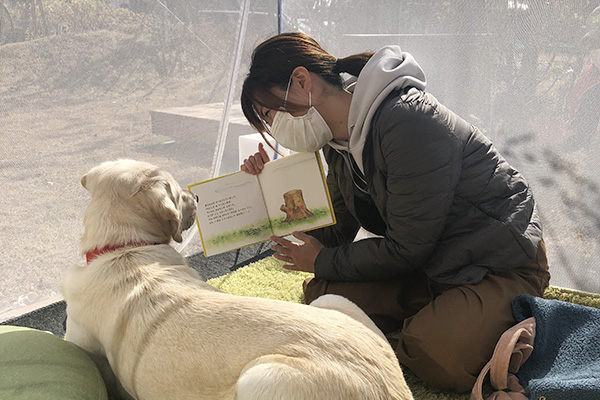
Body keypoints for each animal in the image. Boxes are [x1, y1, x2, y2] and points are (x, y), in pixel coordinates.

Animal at [63, 160, 414, 400]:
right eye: (178, 194)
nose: (196, 199)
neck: (127, 247)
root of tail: (393, 391)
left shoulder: (78, 340)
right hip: (334, 301)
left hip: (261, 378)